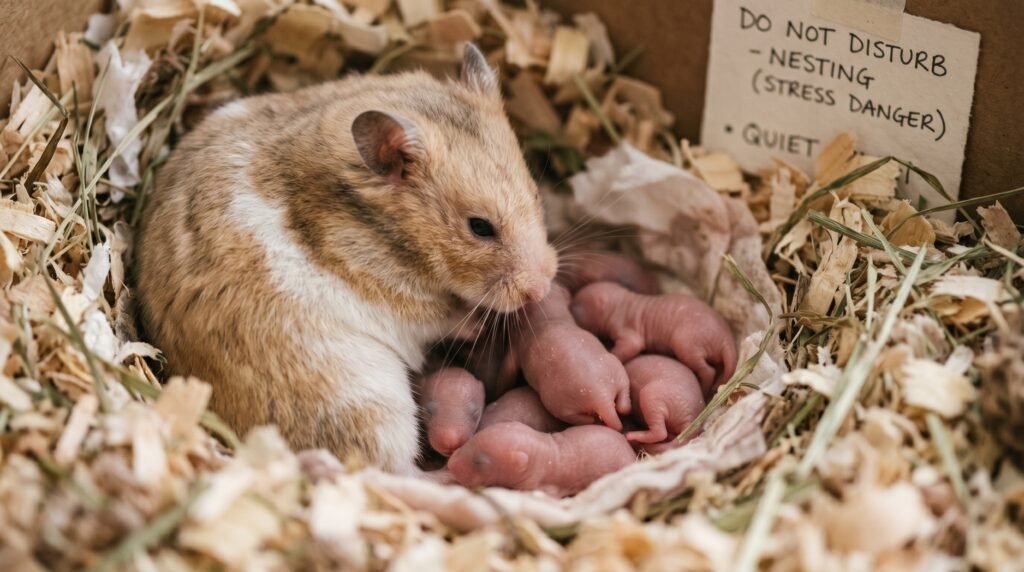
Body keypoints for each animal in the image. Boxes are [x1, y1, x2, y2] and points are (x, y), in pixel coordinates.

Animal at [135, 45, 558, 475]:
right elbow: (444, 318)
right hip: (368, 407)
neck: (384, 235)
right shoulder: (402, 305)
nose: (542, 290)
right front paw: (477, 324)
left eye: (534, 193)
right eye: (480, 227)